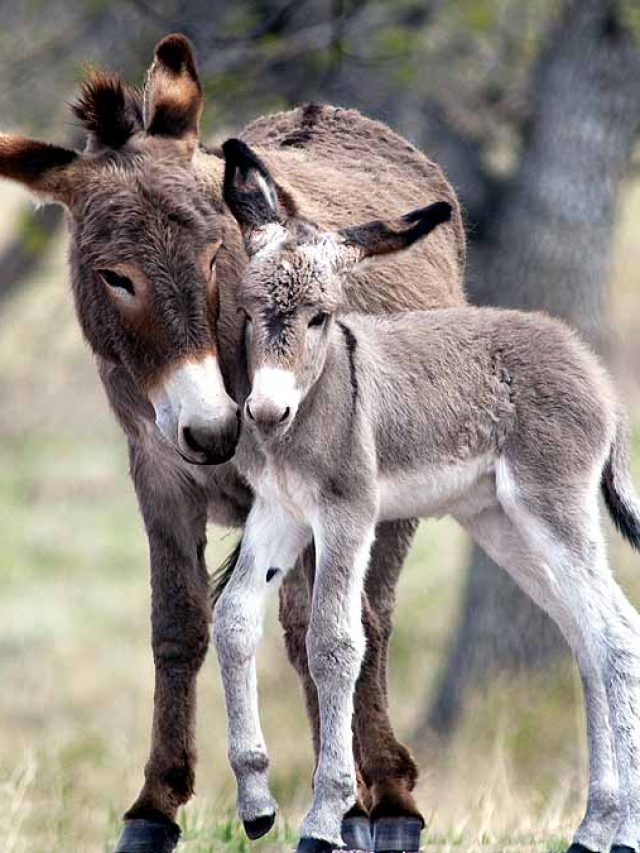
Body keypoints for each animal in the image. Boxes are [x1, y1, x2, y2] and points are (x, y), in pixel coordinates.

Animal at [215, 140, 640, 852]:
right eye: (246, 313)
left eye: (318, 317)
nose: (266, 412)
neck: (313, 403)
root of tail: (592, 368)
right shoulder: (279, 514)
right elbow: (233, 620)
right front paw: (255, 804)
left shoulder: (347, 515)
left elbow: (335, 641)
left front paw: (325, 816)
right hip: (502, 523)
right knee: (586, 635)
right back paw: (595, 825)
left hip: (554, 505)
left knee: (618, 634)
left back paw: (625, 828)